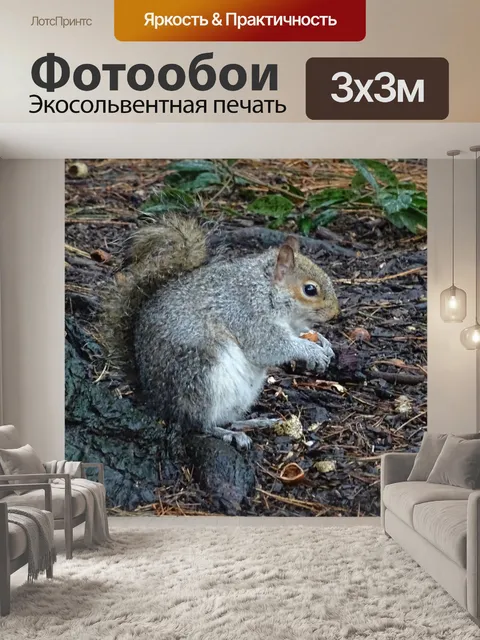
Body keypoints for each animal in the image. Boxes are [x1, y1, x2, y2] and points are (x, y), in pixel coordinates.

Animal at [104, 214, 339, 450]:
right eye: (310, 289)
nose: (335, 313)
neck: (266, 290)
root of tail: (155, 397)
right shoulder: (247, 315)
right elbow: (268, 347)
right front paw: (310, 350)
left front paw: (323, 342)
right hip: (199, 380)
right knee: (198, 423)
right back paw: (228, 433)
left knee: (227, 418)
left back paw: (253, 422)